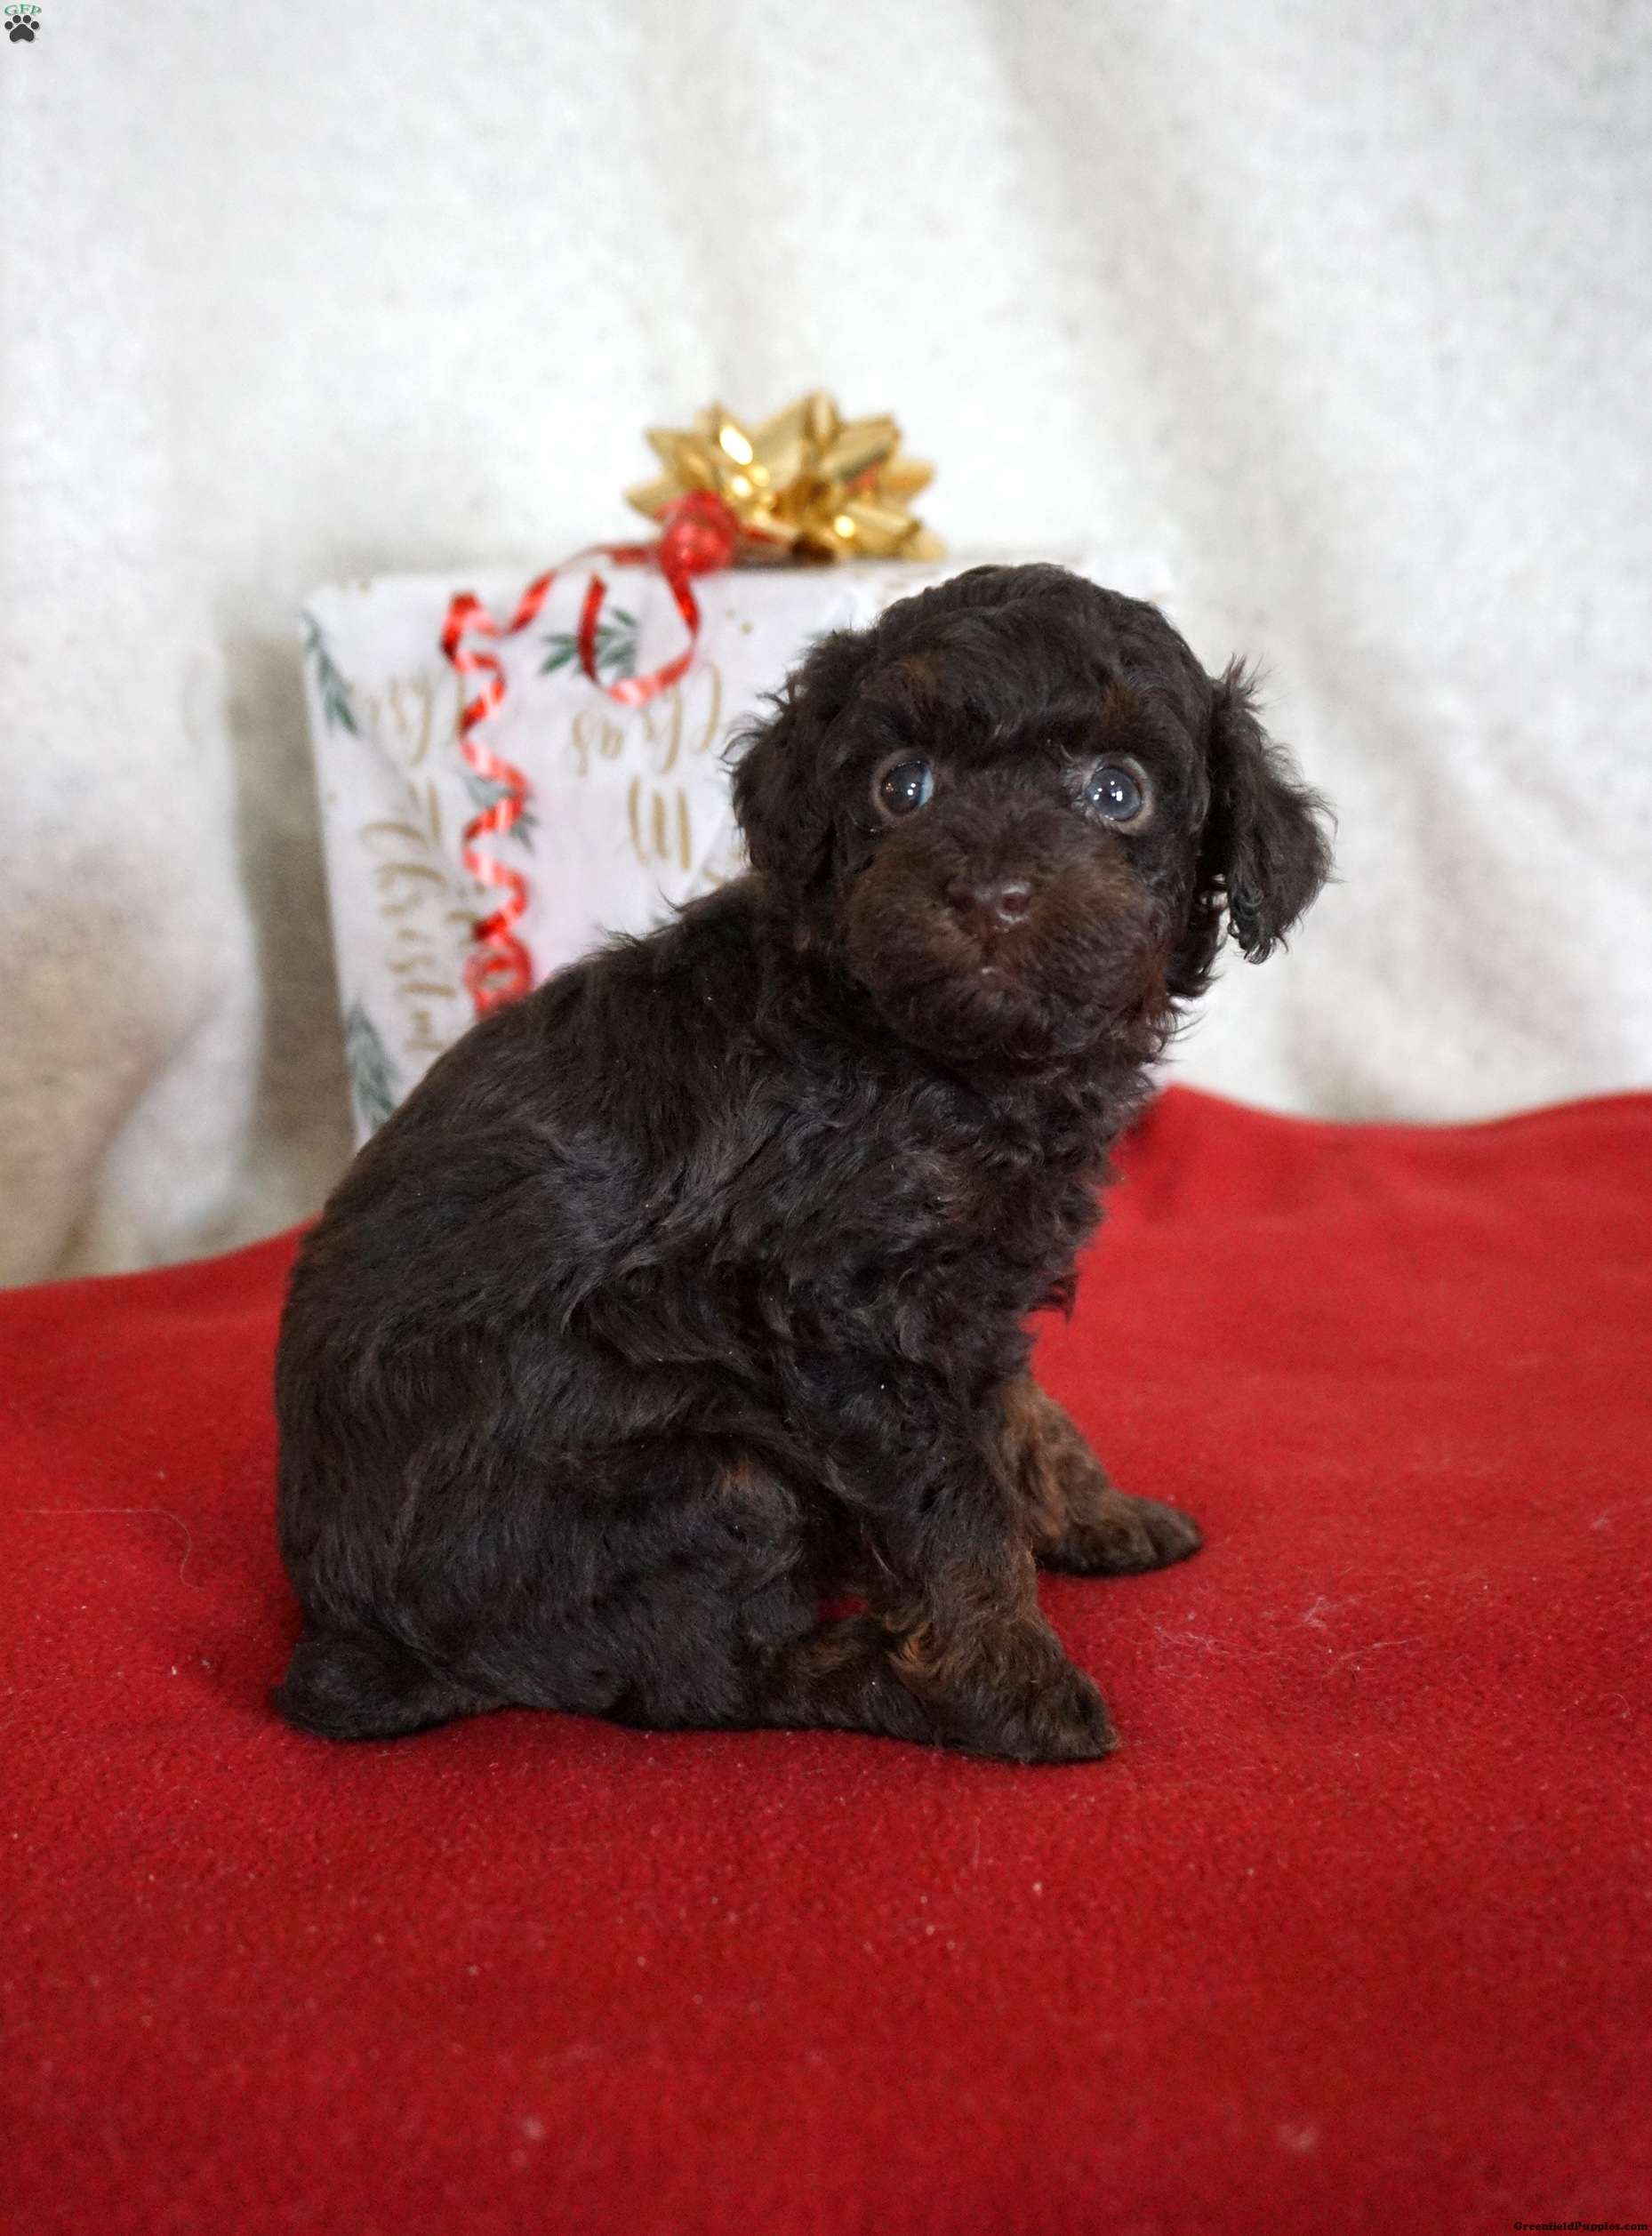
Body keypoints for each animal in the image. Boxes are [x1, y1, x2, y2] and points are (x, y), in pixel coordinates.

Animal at [273, 563, 1332, 1763]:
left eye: (1118, 793)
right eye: (901, 786)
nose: (990, 894)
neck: (934, 1057)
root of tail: (348, 1634)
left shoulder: (966, 1296)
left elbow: (1020, 1411)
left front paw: (1093, 1514)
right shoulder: (846, 1315)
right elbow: (954, 1510)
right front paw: (1009, 1679)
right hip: (719, 1484)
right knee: (696, 1678)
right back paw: (880, 1678)